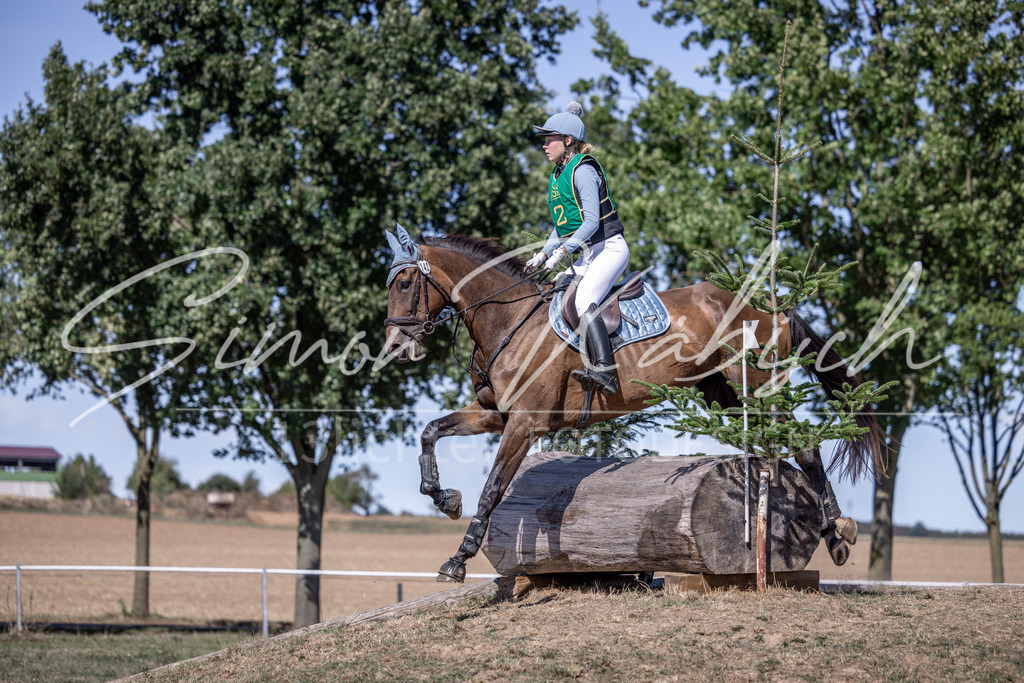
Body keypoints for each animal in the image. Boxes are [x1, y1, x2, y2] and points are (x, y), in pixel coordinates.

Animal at [383, 229, 884, 582]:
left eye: (405, 283)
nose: (393, 345)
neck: (508, 319)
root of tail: (772, 304)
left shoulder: (524, 424)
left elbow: (491, 489)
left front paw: (458, 559)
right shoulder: (495, 414)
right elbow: (431, 431)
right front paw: (443, 497)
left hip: (759, 385)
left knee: (805, 447)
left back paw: (836, 534)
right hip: (721, 391)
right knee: (780, 447)